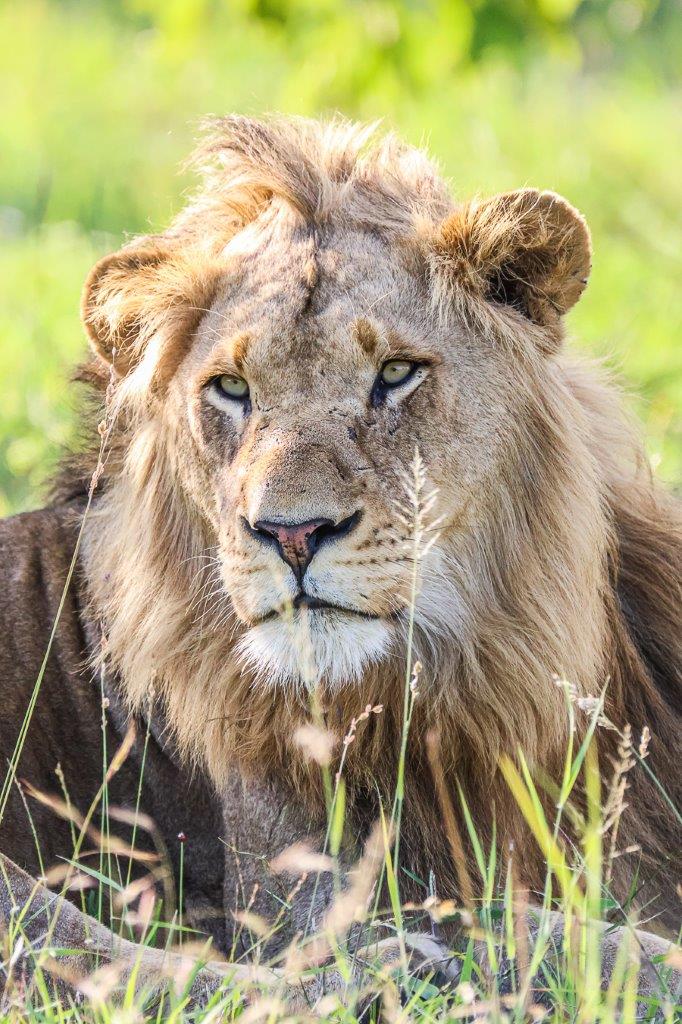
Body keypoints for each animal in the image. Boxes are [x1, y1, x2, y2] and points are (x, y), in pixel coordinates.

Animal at [1, 116, 680, 1009]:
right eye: (230, 388)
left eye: (396, 373)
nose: (291, 534)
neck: (479, 678)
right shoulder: (294, 898)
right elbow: (556, 931)